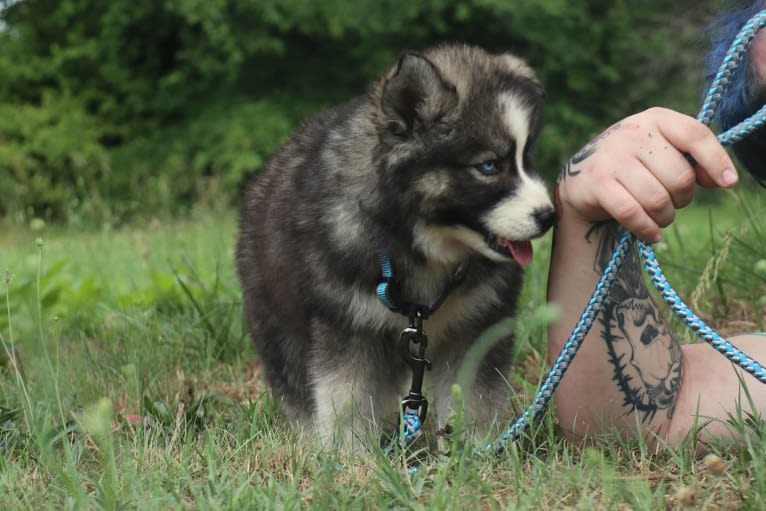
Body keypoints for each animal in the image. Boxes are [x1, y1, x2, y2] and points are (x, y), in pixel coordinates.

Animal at [237, 43, 556, 444]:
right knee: (293, 378)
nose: (548, 216)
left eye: (526, 159)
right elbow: (345, 396)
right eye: (489, 166)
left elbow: (476, 394)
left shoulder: (477, 321)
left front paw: (476, 445)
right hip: (278, 318)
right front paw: (347, 453)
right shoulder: (348, 322)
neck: (424, 244)